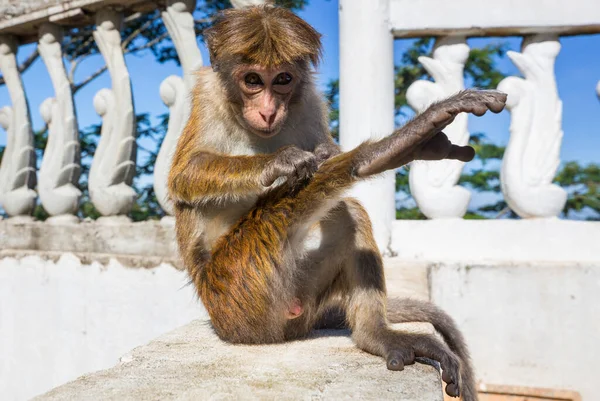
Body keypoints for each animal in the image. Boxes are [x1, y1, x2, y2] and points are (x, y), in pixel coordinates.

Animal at [168, 4, 506, 398]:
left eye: (282, 79)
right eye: (252, 80)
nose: (268, 111)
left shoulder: (310, 101)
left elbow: (324, 153)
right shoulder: (208, 95)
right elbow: (183, 176)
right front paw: (280, 162)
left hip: (297, 291)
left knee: (349, 212)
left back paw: (375, 334)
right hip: (241, 289)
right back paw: (383, 151)